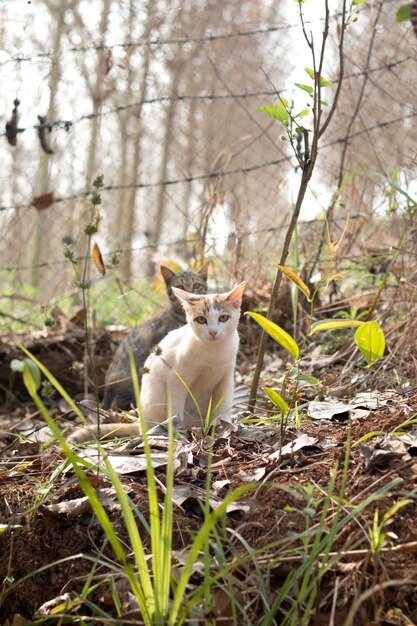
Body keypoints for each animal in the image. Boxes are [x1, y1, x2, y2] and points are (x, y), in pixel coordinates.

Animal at [141, 280, 244, 426]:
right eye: (201, 320)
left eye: (223, 318)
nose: (213, 332)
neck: (213, 351)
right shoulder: (176, 378)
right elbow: (176, 407)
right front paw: (175, 429)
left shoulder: (226, 378)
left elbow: (224, 405)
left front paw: (225, 426)